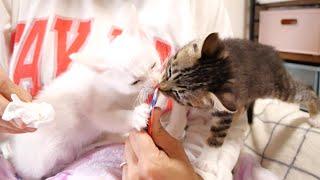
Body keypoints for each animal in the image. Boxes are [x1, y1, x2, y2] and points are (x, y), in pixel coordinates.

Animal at [159, 33, 320, 147]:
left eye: (177, 93)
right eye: (169, 71)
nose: (160, 88)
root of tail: (273, 51)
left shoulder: (226, 108)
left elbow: (217, 136)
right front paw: (174, 130)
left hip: (280, 86)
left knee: (307, 89)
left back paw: (314, 117)